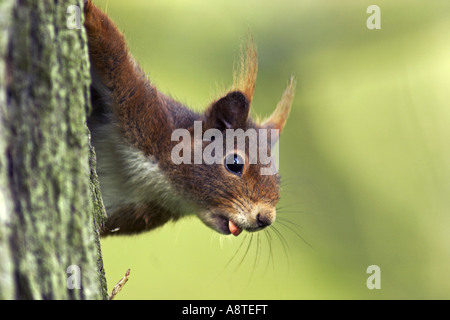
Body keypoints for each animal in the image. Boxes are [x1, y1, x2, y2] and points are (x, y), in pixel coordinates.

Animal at [84, 0, 296, 238]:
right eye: (234, 163)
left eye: (277, 178)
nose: (265, 219)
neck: (160, 182)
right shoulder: (142, 109)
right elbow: (112, 47)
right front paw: (87, 10)